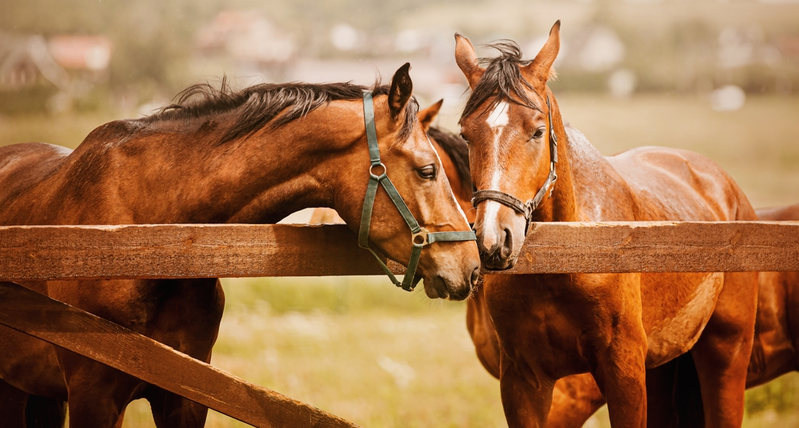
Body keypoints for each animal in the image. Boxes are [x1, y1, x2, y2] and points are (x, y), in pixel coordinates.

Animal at [454, 21, 759, 428]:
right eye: (465, 134)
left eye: (537, 131)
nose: (492, 240)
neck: (567, 260)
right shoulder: (523, 381)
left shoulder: (622, 372)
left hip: (727, 353)